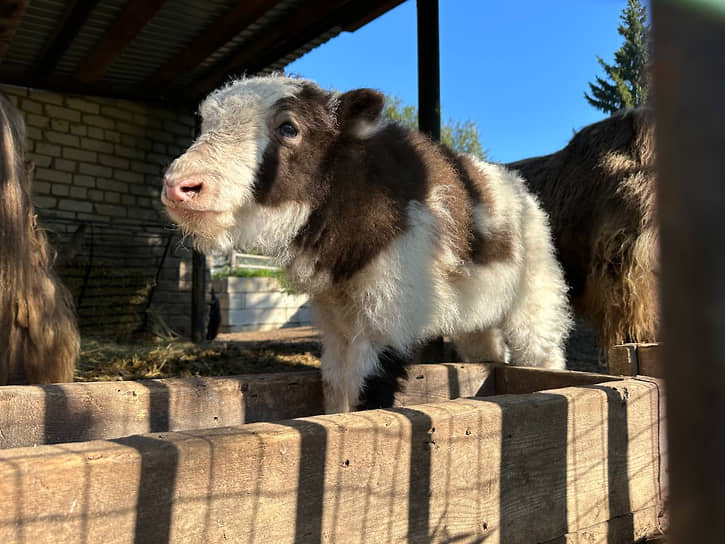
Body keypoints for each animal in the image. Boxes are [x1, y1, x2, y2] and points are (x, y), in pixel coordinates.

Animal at [164, 73, 572, 412]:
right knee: (487, 350)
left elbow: (368, 387)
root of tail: (519, 187)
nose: (180, 186)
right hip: (477, 308)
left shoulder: (389, 309)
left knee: (542, 352)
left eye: (289, 128)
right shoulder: (333, 314)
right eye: (205, 123)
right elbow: (336, 385)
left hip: (536, 292)